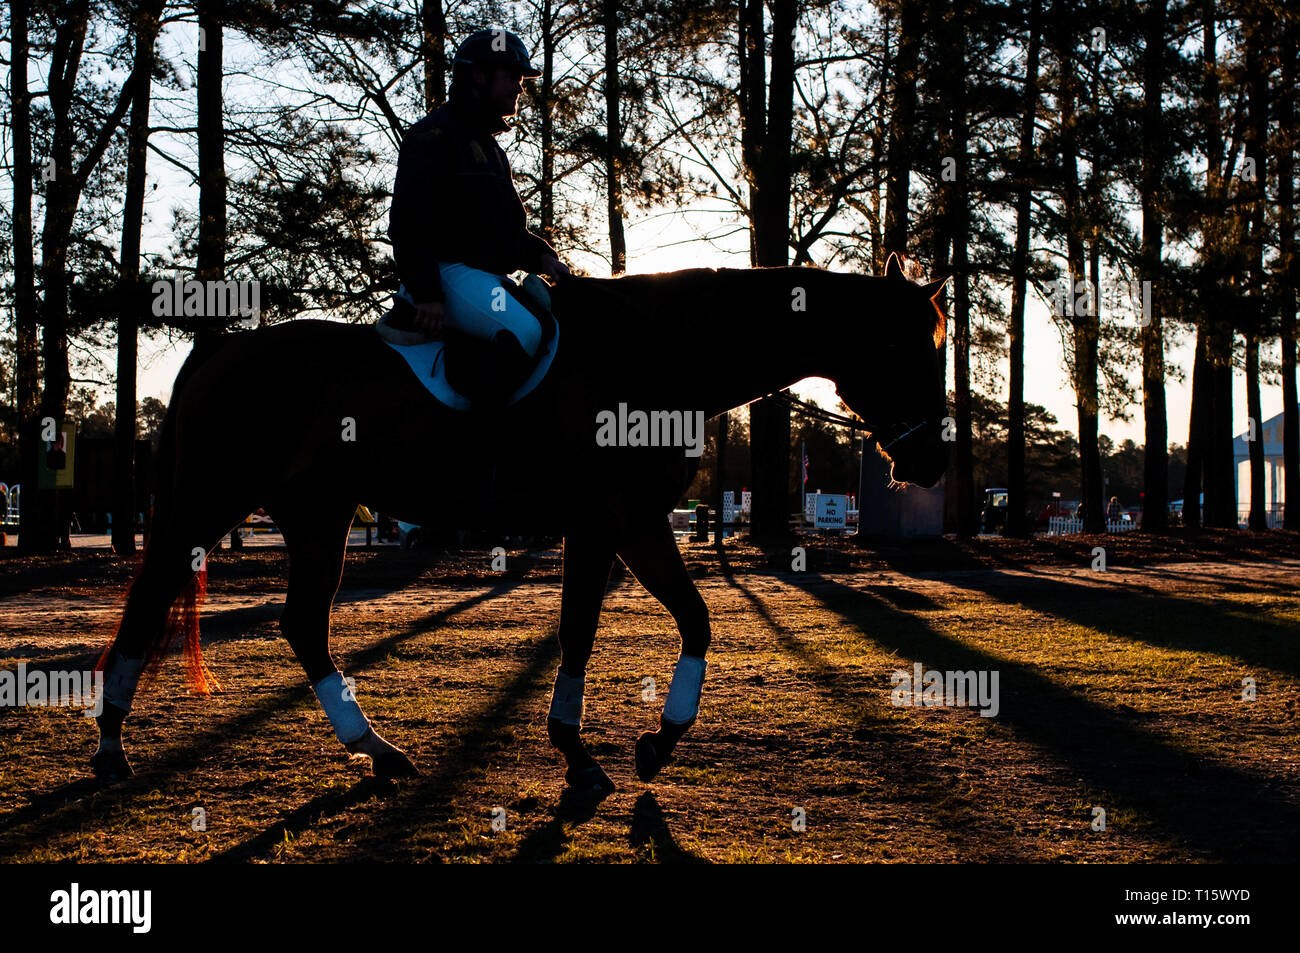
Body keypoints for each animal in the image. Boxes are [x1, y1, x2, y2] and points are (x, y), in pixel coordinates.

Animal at [89, 250, 946, 790]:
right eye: (906, 345)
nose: (931, 463)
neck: (656, 356)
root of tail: (224, 350)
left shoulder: (620, 526)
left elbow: (640, 626)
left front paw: (619, 746)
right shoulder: (617, 523)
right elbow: (636, 625)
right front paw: (617, 749)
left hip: (317, 515)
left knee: (302, 624)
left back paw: (377, 750)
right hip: (211, 501)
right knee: (151, 600)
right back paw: (110, 743)